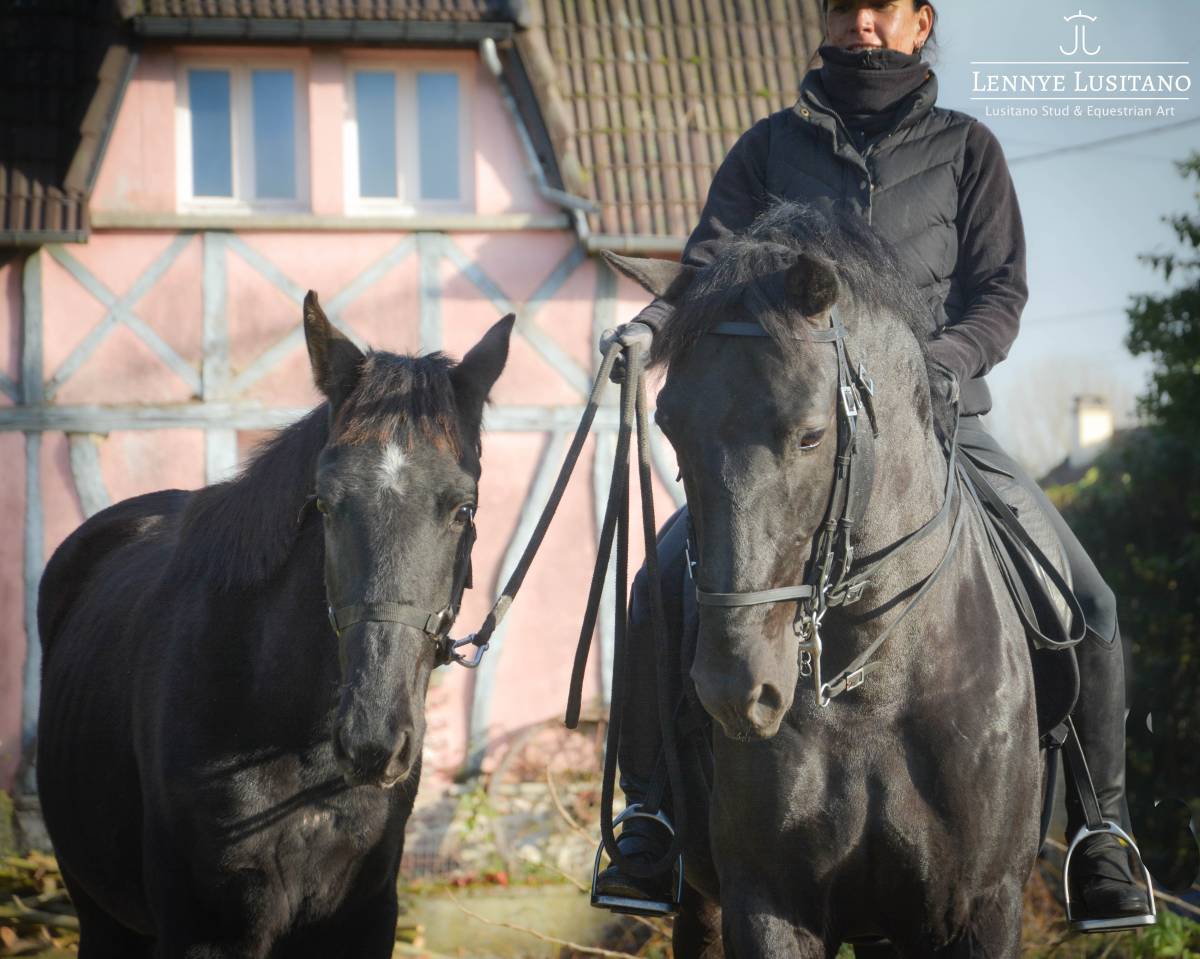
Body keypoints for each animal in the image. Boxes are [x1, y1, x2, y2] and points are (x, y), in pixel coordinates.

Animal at [36, 294, 513, 958]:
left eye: (463, 508)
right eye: (325, 503)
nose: (373, 740)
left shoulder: (365, 920)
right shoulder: (205, 933)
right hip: (101, 916)